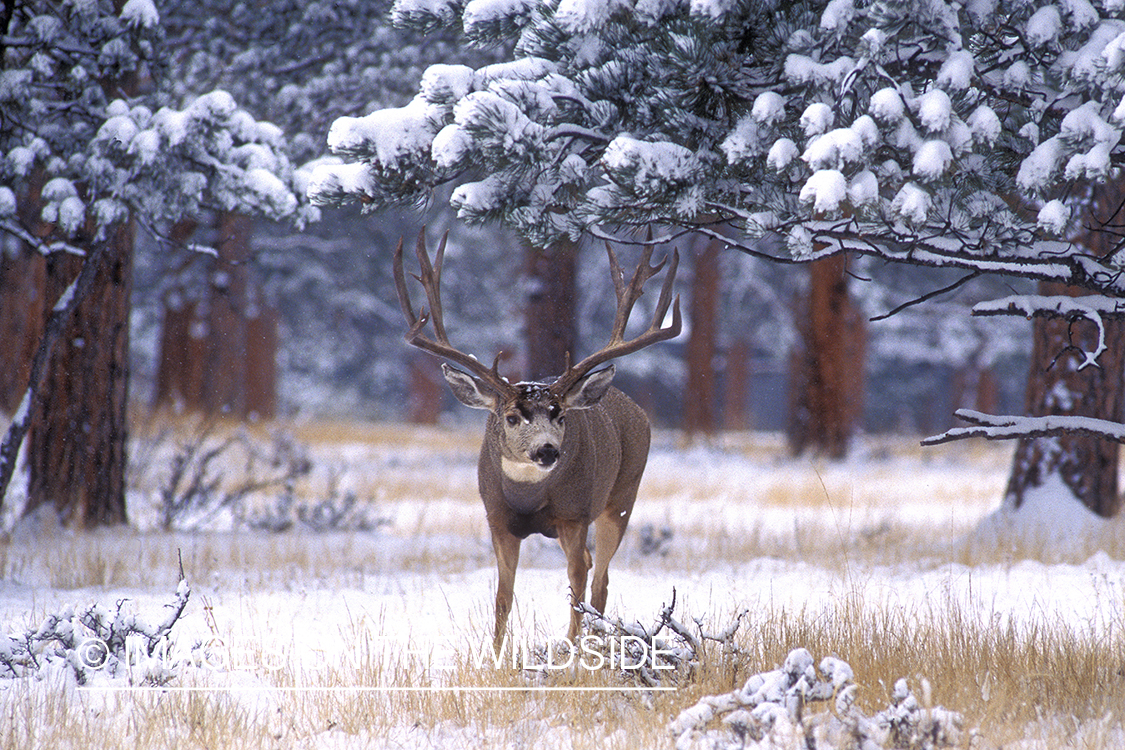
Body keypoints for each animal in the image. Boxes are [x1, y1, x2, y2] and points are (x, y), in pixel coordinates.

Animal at [393, 230, 681, 651]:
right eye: (512, 417)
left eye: (560, 415)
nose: (547, 450)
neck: (528, 498)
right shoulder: (497, 519)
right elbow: (503, 596)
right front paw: (496, 654)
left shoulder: (574, 514)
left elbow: (577, 583)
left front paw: (572, 647)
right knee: (592, 570)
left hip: (621, 496)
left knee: (598, 577)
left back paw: (593, 639)